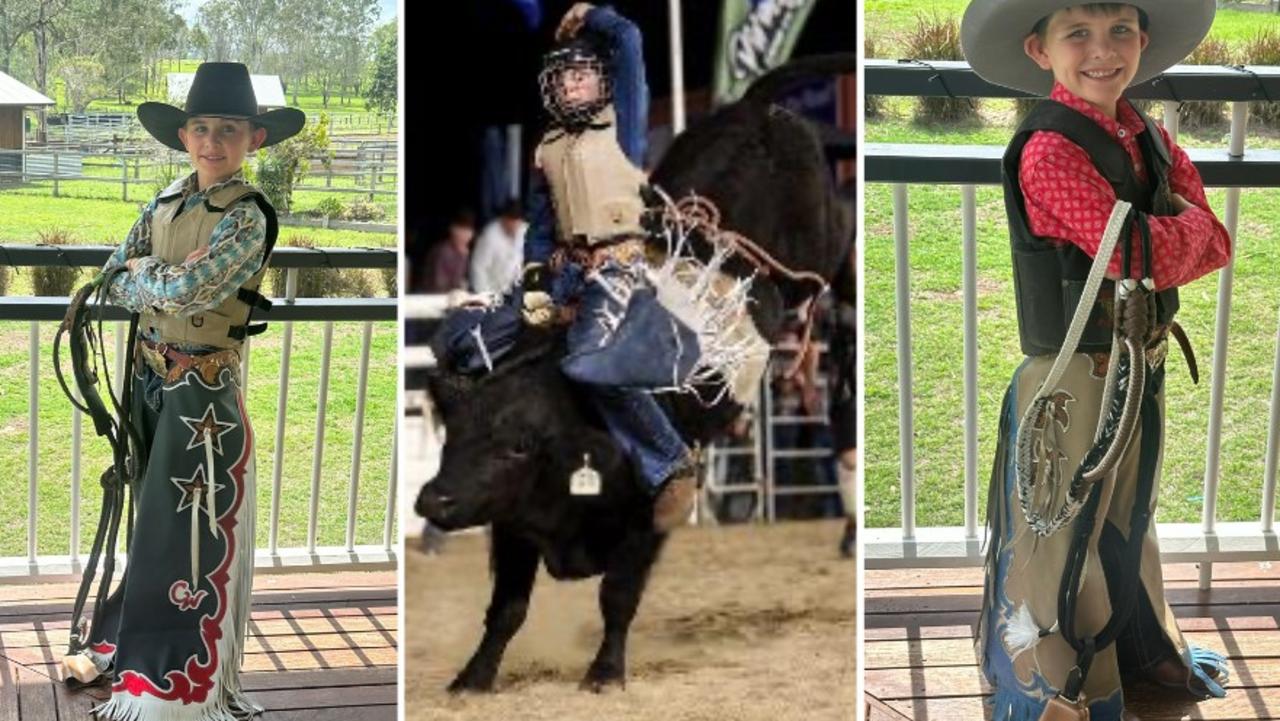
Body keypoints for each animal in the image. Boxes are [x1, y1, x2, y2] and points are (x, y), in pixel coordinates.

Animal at [419, 56, 855, 691]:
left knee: (841, 234)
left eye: (518, 447)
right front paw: (472, 677)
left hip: (819, 238)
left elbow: (617, 598)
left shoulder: (644, 526)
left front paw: (605, 672)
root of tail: (756, 108)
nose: (436, 499)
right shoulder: (513, 524)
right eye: (453, 432)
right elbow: (507, 609)